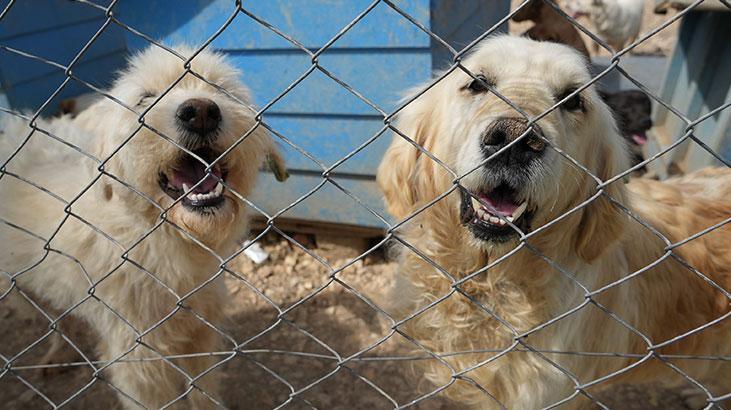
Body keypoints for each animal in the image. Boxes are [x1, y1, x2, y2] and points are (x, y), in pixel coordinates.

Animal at [0, 45, 284, 410]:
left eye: (221, 89)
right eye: (144, 98)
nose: (201, 112)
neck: (161, 237)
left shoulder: (200, 335)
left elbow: (202, 391)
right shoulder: (139, 361)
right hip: (19, 289)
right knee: (54, 320)